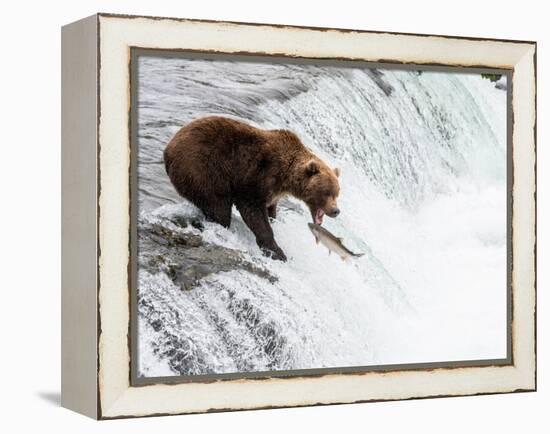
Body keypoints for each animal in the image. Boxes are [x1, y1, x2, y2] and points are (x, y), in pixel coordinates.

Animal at [164, 114, 340, 262]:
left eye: (337, 193)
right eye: (327, 192)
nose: (336, 211)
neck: (286, 176)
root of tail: (168, 148)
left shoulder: (273, 191)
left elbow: (270, 209)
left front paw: (273, 223)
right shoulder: (257, 176)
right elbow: (253, 211)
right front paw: (277, 252)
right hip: (203, 167)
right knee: (218, 207)